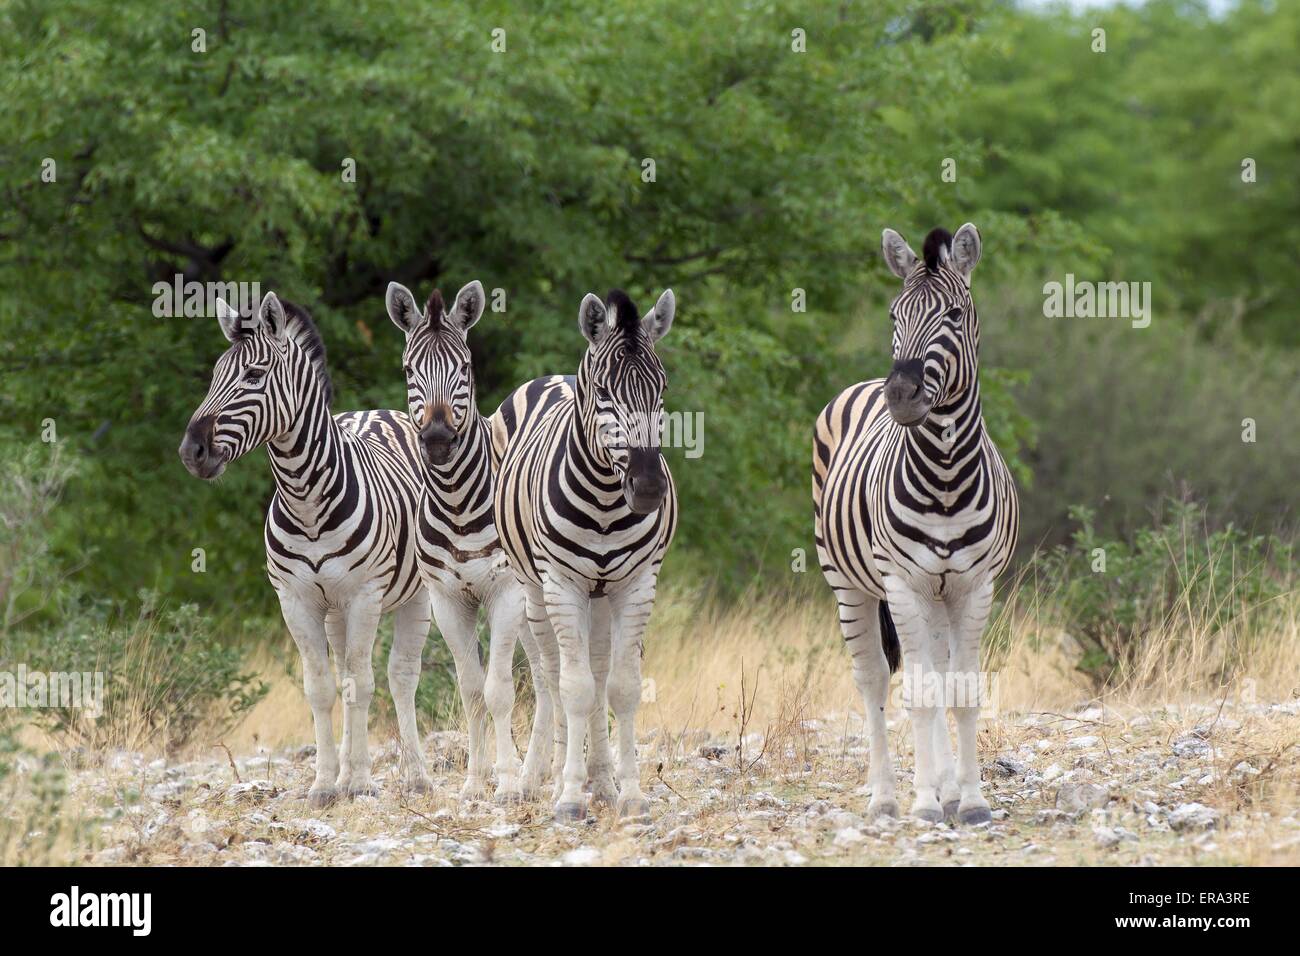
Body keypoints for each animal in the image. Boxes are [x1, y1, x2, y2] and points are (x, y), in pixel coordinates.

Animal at [180, 291, 434, 806]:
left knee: (401, 677)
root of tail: (379, 410)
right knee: (347, 672)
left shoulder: (364, 596)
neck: (307, 500)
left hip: (413, 595)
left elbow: (363, 685)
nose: (191, 452)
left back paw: (415, 776)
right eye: (214, 375)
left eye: (253, 375)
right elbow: (321, 688)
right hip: (334, 609)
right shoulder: (294, 600)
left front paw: (360, 782)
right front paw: (324, 785)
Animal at [379, 277, 553, 801]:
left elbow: (499, 690)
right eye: (409, 368)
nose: (437, 438)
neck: (457, 500)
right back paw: (541, 772)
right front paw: (476, 782)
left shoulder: (505, 592)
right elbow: (472, 690)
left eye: (465, 367)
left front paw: (507, 784)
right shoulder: (446, 600)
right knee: (547, 673)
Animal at [491, 287, 681, 816]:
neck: (604, 500)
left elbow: (621, 687)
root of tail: (551, 378)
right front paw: (571, 795)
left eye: (662, 389)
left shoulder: (637, 584)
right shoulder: (563, 584)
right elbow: (574, 689)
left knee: (595, 671)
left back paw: (602, 779)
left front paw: (629, 792)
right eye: (603, 393)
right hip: (534, 590)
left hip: (601, 596)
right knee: (552, 674)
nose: (649, 488)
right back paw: (552, 777)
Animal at [811, 223, 1013, 822]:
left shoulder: (974, 585)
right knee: (874, 678)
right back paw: (885, 797)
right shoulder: (903, 584)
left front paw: (970, 801)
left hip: (940, 595)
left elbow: (961, 689)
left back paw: (947, 787)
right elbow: (919, 694)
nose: (899, 394)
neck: (944, 475)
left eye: (953, 314)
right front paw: (924, 803)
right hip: (848, 582)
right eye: (893, 315)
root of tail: (856, 385)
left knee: (939, 672)